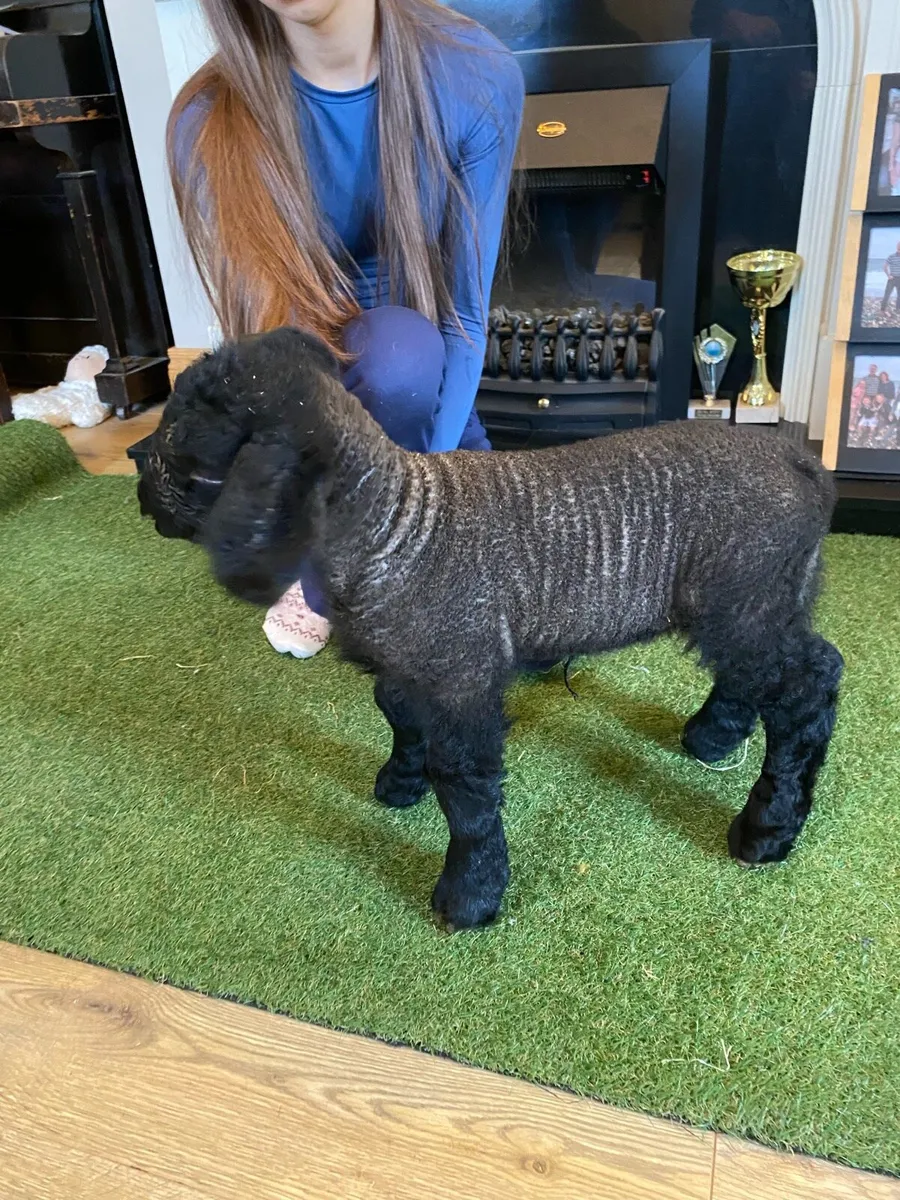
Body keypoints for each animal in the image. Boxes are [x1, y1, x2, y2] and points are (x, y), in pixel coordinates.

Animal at [138, 326, 844, 930]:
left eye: (180, 451)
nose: (139, 482)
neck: (392, 522)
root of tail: (801, 461)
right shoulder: (412, 666)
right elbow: (398, 716)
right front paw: (401, 784)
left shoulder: (462, 677)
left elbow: (466, 790)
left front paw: (470, 894)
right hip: (767, 600)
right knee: (760, 675)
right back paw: (713, 737)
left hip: (746, 596)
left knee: (811, 687)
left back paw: (767, 827)